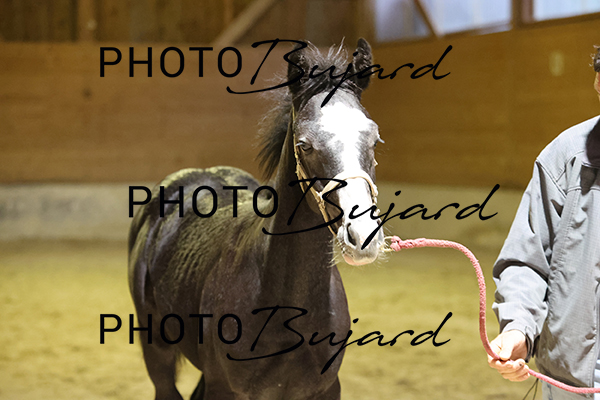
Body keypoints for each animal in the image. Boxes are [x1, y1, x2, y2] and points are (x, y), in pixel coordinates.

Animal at [128, 38, 385, 400]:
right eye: (304, 144)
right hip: (157, 354)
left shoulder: (326, 389)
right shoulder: (225, 389)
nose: (362, 236)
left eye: (374, 139)